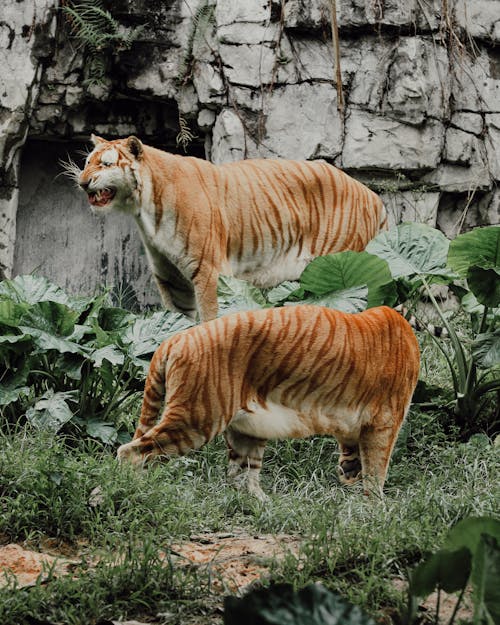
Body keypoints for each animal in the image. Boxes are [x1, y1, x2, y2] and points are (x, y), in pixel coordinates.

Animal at [117, 302, 418, 498]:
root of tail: (175, 338)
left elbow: (355, 455)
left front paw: (350, 476)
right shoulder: (385, 421)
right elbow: (377, 470)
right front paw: (376, 510)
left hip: (246, 429)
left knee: (239, 477)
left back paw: (264, 506)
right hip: (196, 418)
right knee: (132, 451)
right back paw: (135, 490)